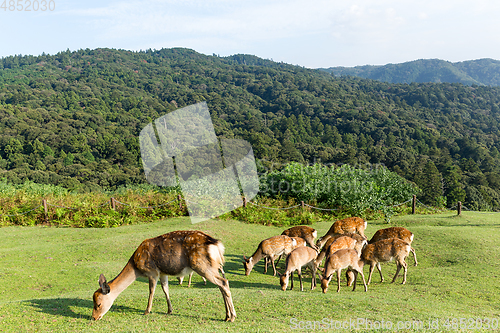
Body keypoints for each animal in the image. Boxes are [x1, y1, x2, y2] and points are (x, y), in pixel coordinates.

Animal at [91, 230, 236, 320]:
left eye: (98, 304)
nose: (94, 317)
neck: (135, 266)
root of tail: (217, 244)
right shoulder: (163, 273)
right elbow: (165, 289)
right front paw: (170, 310)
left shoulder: (152, 272)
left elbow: (152, 291)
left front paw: (146, 311)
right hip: (213, 266)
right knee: (221, 285)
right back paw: (226, 316)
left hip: (201, 265)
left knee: (224, 282)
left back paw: (232, 316)